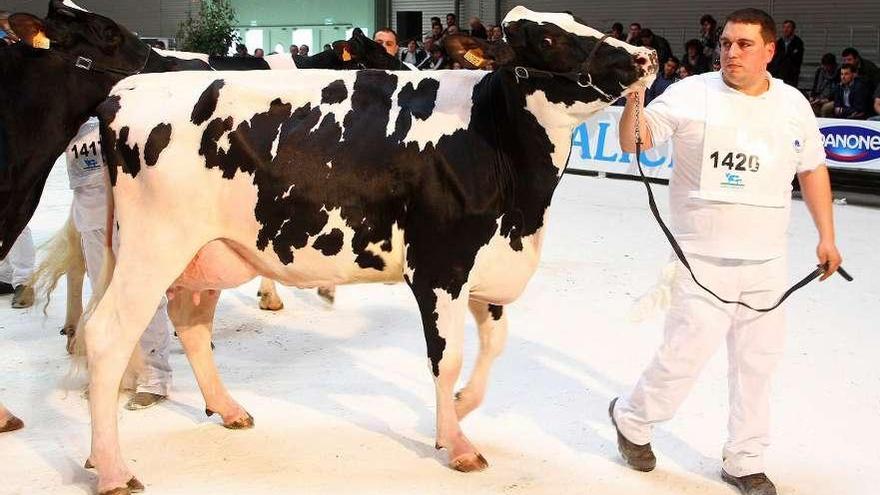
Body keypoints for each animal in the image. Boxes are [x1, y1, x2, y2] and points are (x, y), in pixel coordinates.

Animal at [67, 5, 652, 494]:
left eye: (578, 22)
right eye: (549, 38)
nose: (644, 58)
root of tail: (127, 90)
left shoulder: (488, 265)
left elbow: (493, 348)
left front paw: (460, 409)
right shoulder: (439, 266)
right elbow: (449, 357)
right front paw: (457, 444)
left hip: (210, 250)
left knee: (189, 323)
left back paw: (225, 411)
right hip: (151, 249)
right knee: (107, 335)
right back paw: (114, 469)